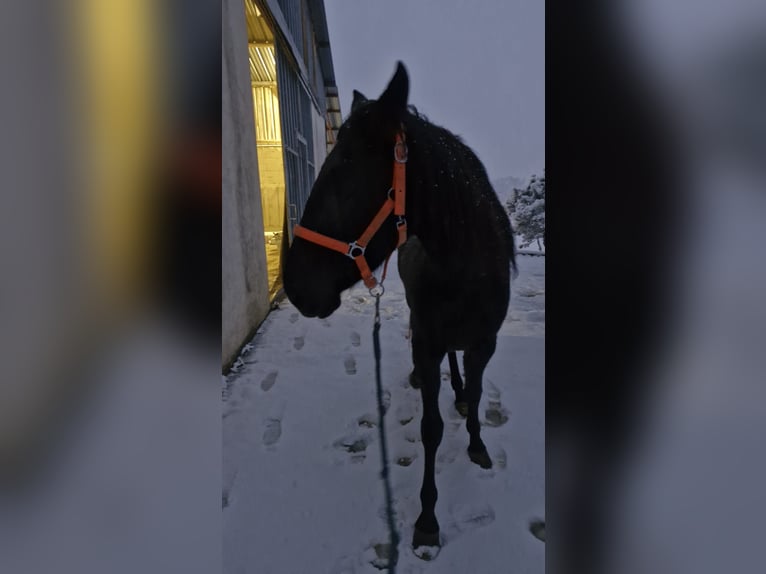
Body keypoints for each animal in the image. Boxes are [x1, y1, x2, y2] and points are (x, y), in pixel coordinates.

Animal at [282, 62, 516, 552]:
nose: (293, 287)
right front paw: (427, 519)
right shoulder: (428, 340)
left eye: (344, 178)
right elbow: (430, 428)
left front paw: (477, 444)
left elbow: (477, 395)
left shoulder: (485, 342)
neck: (469, 268)